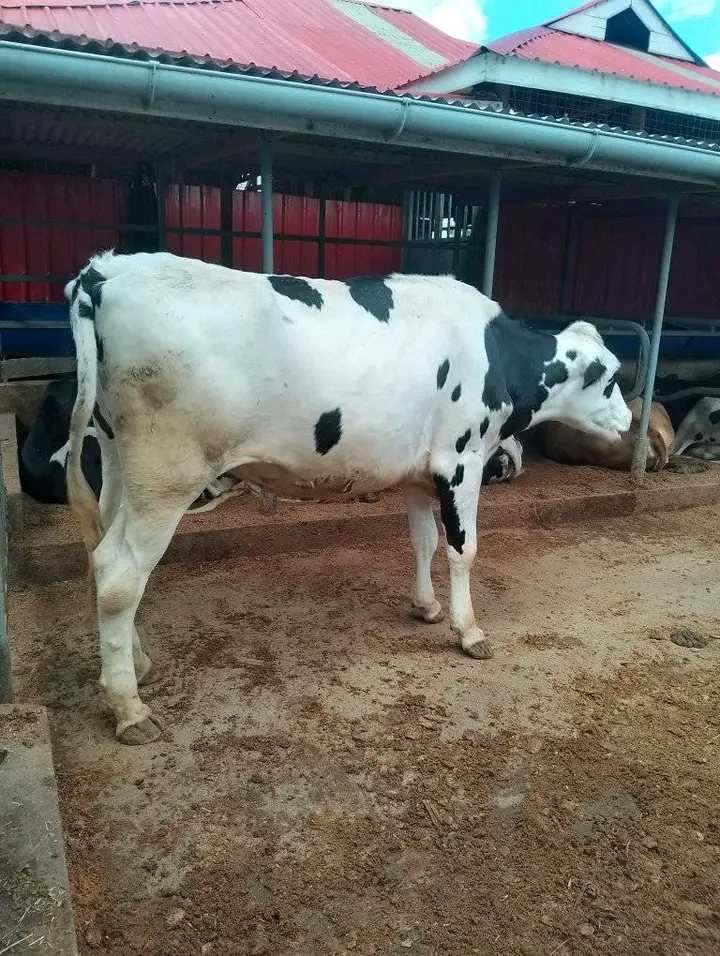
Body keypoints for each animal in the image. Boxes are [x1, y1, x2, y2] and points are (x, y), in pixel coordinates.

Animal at [63, 251, 630, 744]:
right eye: (611, 378)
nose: (628, 419)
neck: (494, 353)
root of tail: (105, 270)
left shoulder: (419, 473)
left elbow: (423, 542)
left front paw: (425, 606)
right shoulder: (461, 460)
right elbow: (462, 550)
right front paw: (468, 631)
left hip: (119, 463)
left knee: (102, 555)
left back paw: (136, 664)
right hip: (166, 474)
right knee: (120, 576)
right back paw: (130, 708)